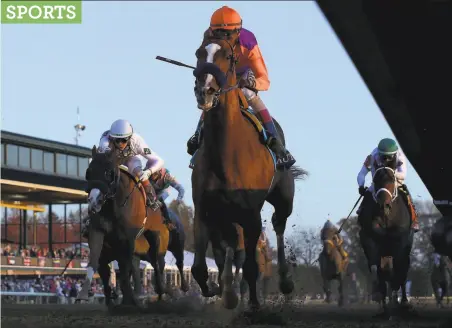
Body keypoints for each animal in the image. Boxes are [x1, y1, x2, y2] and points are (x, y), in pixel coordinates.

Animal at [76, 146, 170, 304]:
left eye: (109, 173)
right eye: (88, 172)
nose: (94, 202)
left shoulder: (128, 240)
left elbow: (125, 270)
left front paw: (128, 299)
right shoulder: (97, 231)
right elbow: (94, 262)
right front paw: (83, 294)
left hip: (155, 236)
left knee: (157, 263)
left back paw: (160, 290)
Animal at [191, 36, 308, 310]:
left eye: (228, 56)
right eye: (199, 53)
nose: (205, 90)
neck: (225, 153)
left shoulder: (251, 214)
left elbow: (252, 265)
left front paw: (253, 304)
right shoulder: (204, 208)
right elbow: (199, 267)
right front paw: (218, 290)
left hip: (283, 198)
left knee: (278, 224)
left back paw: (285, 280)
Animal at [356, 161, 414, 316]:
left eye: (392, 180)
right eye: (375, 180)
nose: (384, 204)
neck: (386, 217)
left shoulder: (400, 242)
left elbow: (399, 270)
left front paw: (398, 300)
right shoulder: (369, 240)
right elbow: (376, 269)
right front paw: (379, 297)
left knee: (403, 271)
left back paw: (403, 302)